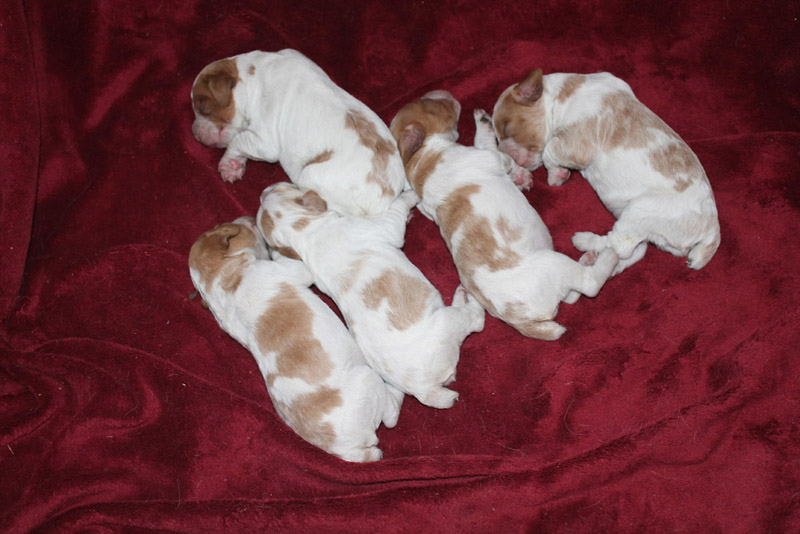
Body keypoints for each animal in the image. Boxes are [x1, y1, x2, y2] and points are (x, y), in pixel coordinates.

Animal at [190, 218, 404, 464]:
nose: (247, 219)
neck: (216, 281)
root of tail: (348, 450)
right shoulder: (284, 271)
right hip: (368, 379)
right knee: (390, 415)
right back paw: (396, 392)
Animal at [191, 49, 406, 217]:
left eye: (202, 106)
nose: (194, 134)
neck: (253, 72)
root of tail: (385, 201)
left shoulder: (265, 141)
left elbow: (237, 140)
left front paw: (228, 163)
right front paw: (236, 166)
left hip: (311, 176)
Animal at [256, 184, 484, 410]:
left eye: (277, 188)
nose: (264, 190)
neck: (307, 235)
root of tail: (423, 390)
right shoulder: (384, 227)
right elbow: (398, 206)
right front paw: (410, 194)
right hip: (449, 321)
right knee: (475, 320)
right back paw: (468, 296)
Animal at [390, 91, 620, 344]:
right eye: (428, 104)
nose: (444, 93)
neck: (419, 159)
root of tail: (522, 321)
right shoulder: (491, 156)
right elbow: (495, 149)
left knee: (571, 295)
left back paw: (588, 259)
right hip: (554, 264)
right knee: (589, 285)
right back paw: (607, 258)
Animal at [490, 68, 720, 274]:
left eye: (507, 128)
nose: (502, 152)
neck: (562, 94)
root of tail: (712, 229)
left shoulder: (578, 145)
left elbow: (549, 149)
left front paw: (556, 174)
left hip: (642, 209)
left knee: (619, 245)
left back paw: (584, 241)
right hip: (643, 227)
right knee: (629, 252)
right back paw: (595, 263)